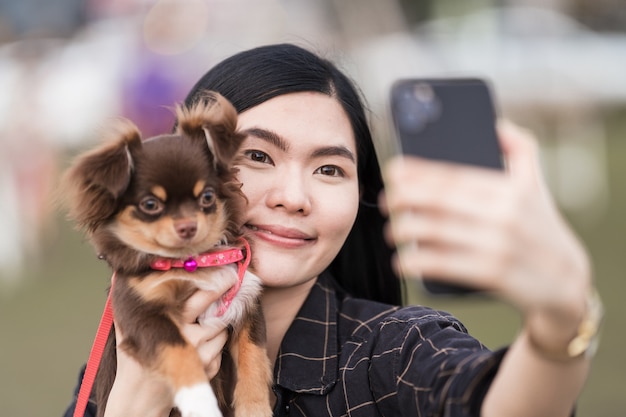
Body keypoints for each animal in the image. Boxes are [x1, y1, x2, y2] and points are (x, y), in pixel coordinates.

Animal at [61, 92, 270, 416]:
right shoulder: (143, 313)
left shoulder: (245, 300)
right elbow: (180, 352)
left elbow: (254, 361)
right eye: (150, 205)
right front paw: (200, 401)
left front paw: (256, 409)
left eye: (207, 197)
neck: (190, 261)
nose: (187, 226)